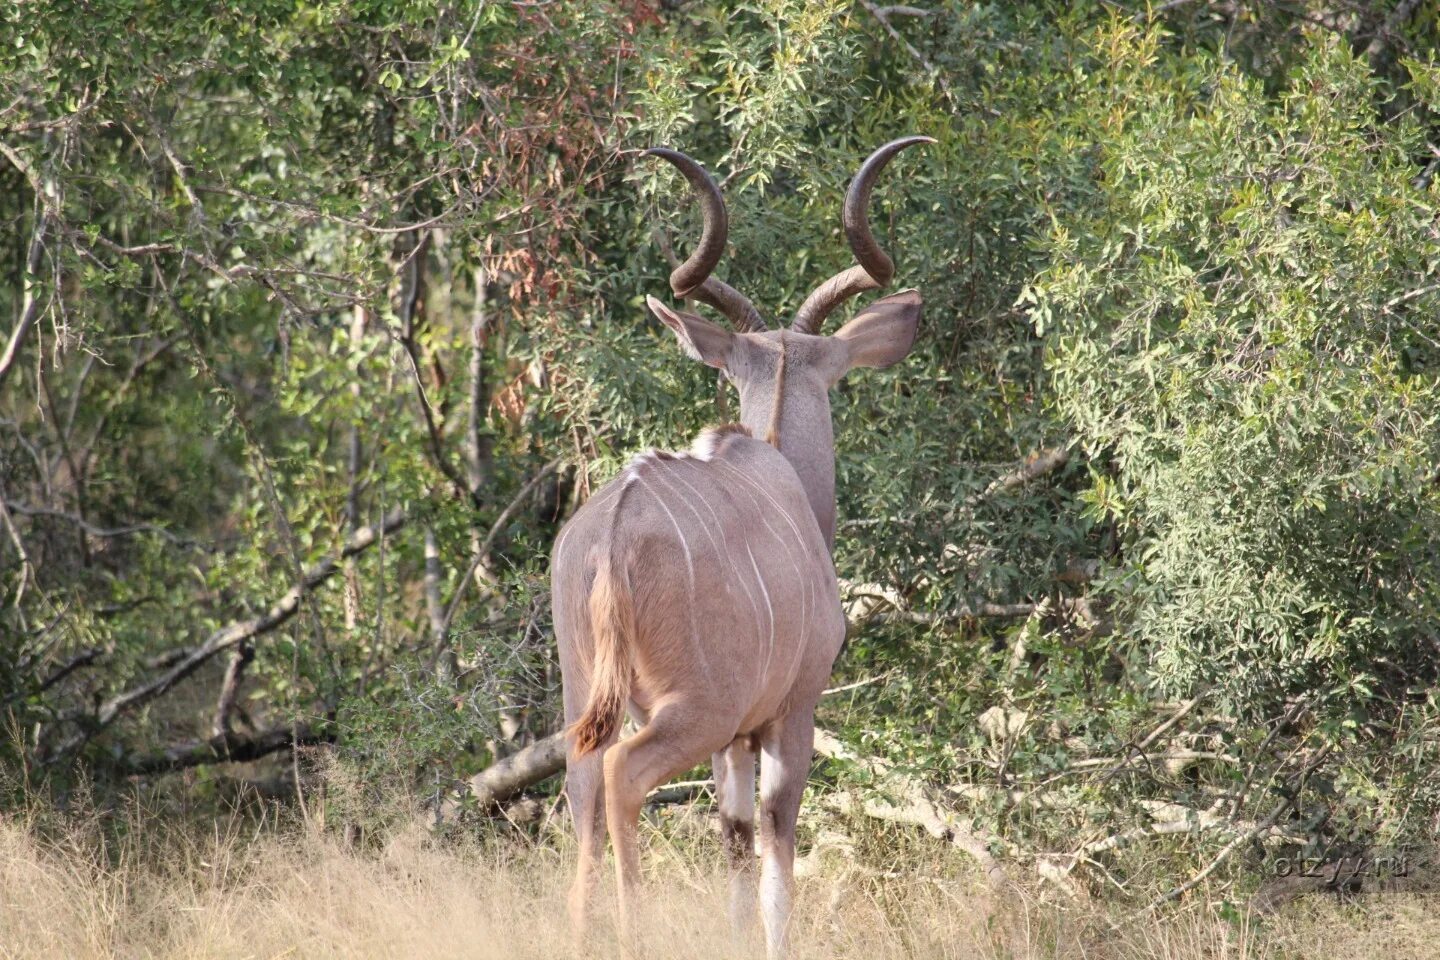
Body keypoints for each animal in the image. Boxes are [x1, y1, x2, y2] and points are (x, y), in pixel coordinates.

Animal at [550, 135, 933, 955]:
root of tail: (611, 534)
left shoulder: (734, 742)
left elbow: (731, 837)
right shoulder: (790, 710)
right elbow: (776, 840)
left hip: (589, 694)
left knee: (582, 786)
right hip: (692, 709)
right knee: (622, 776)